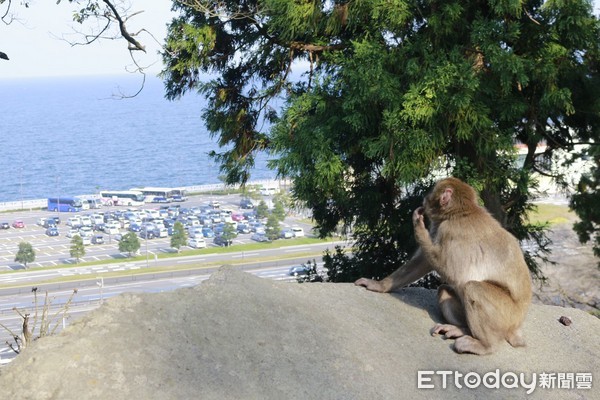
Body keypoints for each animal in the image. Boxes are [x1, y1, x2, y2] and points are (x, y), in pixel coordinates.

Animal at [354, 177, 532, 354]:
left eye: (431, 191)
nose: (424, 197)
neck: (459, 212)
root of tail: (518, 325)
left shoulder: (449, 230)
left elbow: (453, 272)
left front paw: (419, 226)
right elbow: (423, 263)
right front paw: (379, 285)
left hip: (506, 315)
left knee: (472, 287)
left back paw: (485, 344)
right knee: (444, 290)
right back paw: (461, 329)